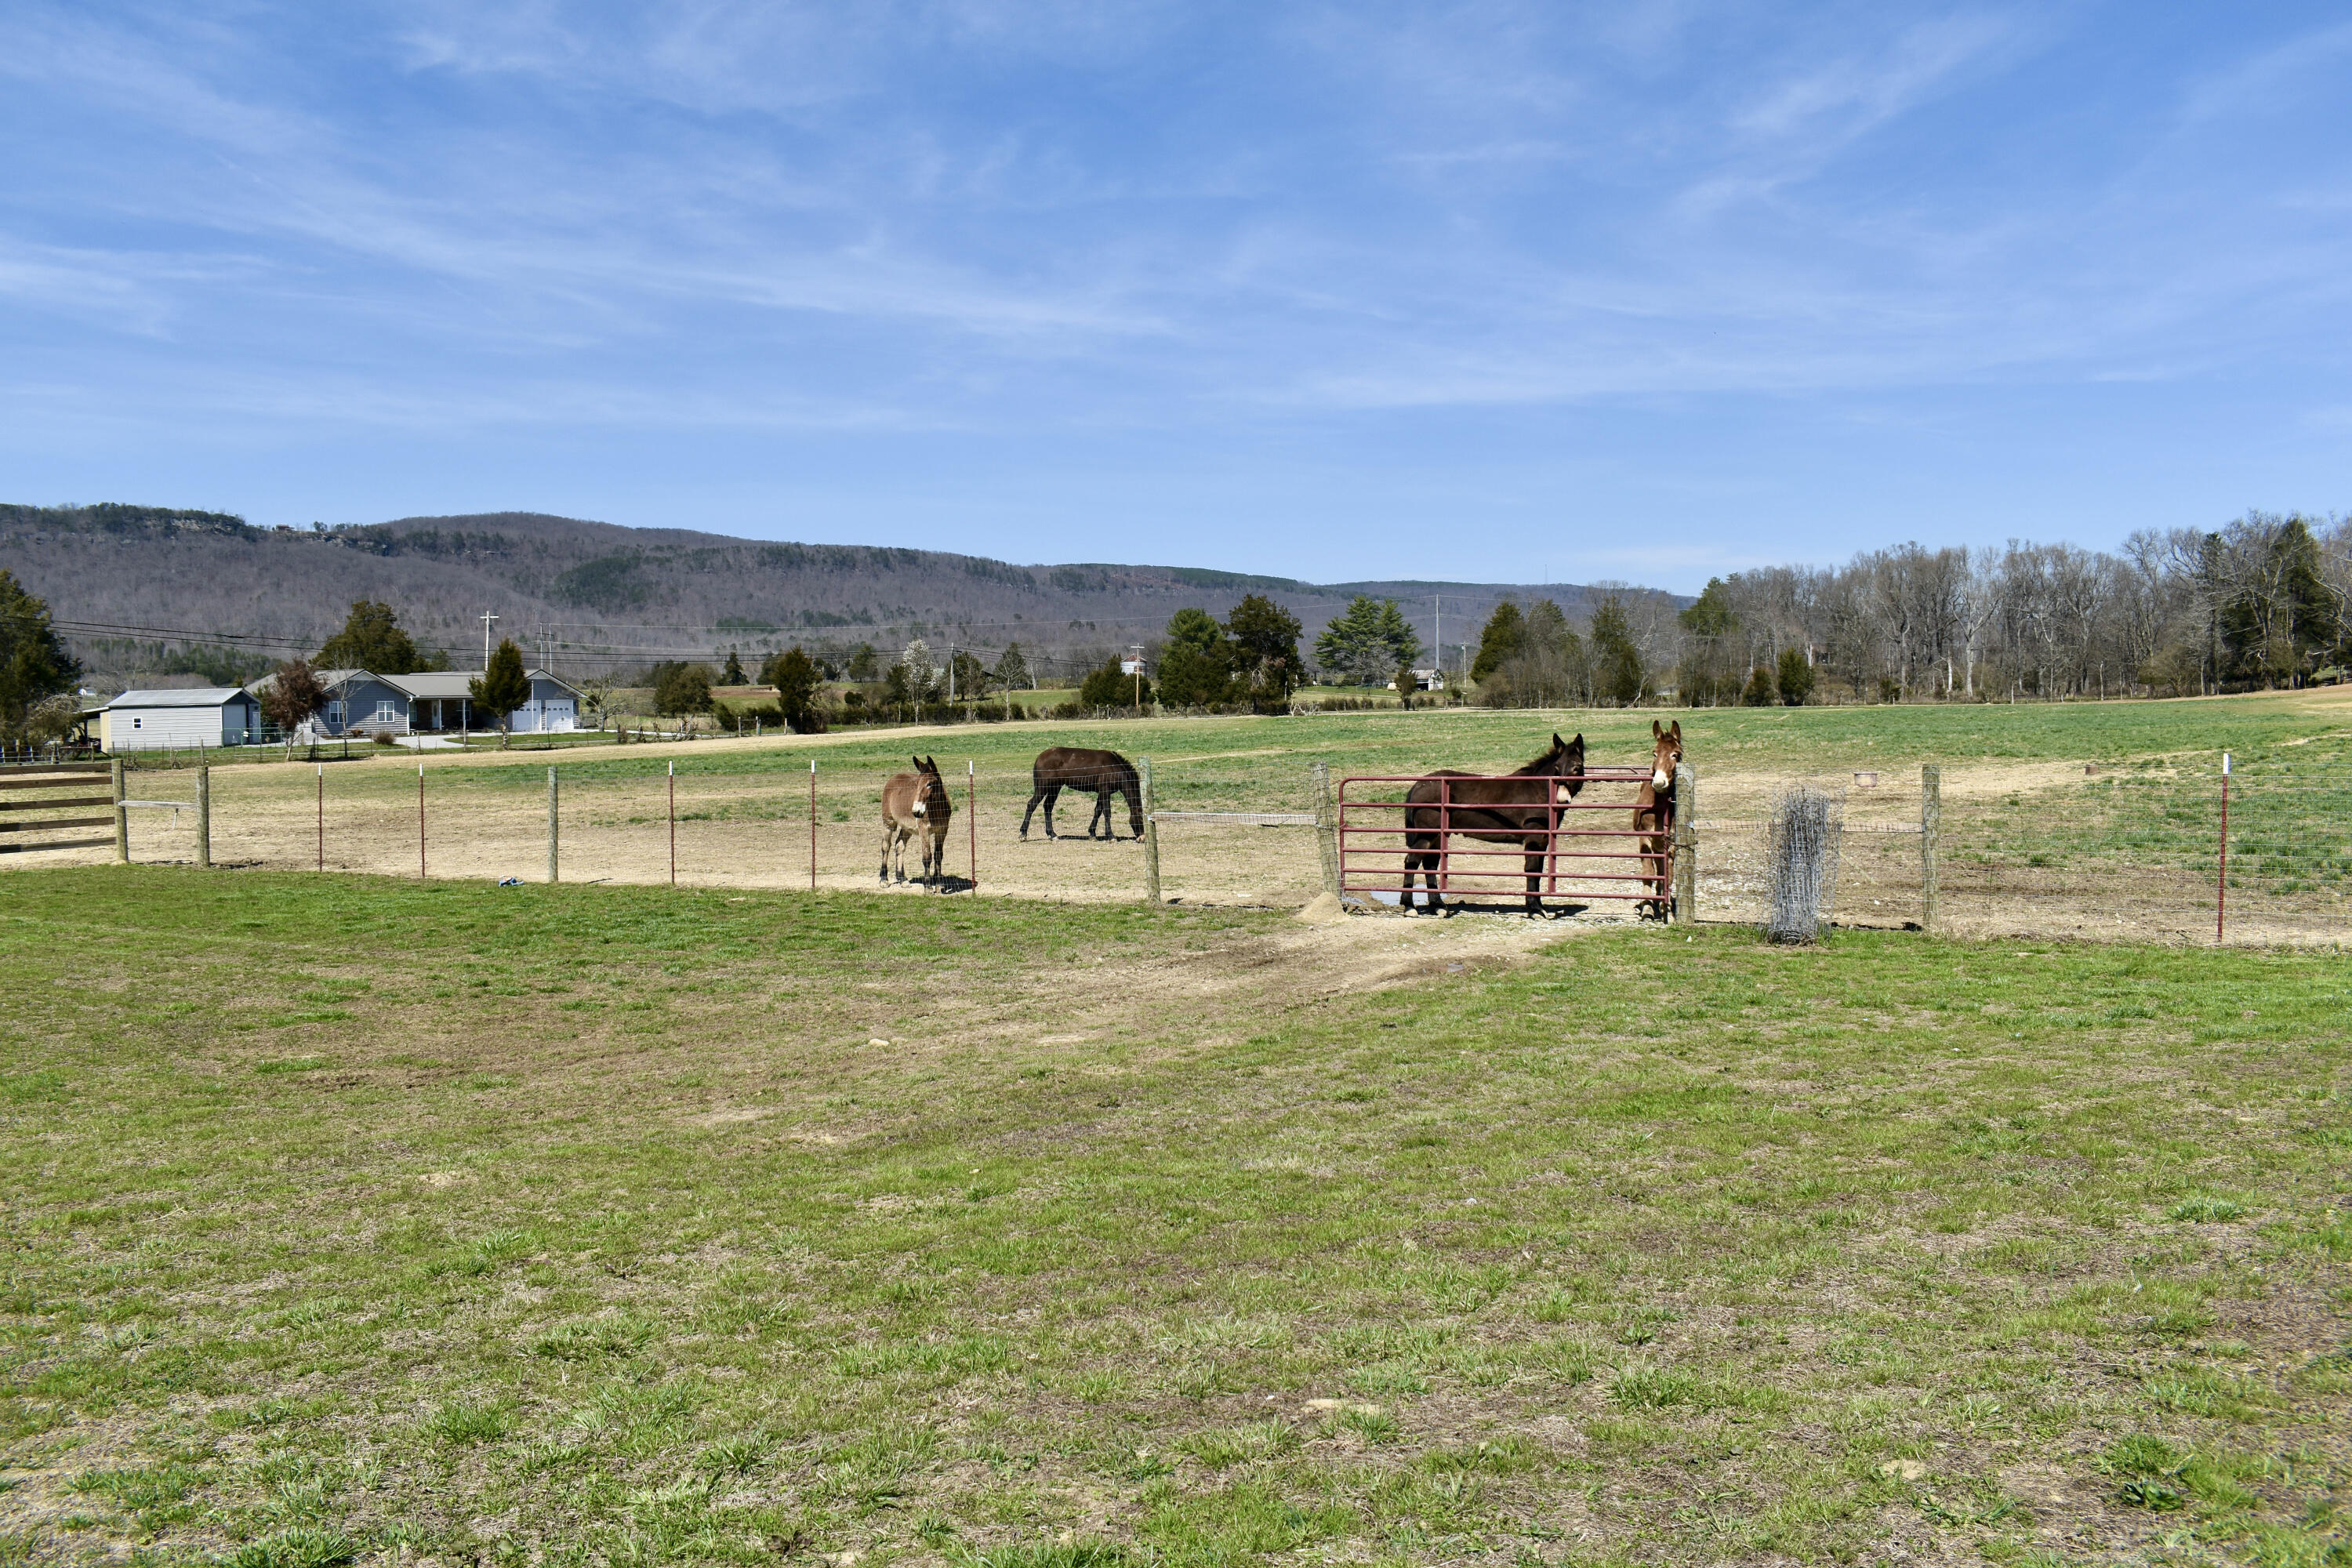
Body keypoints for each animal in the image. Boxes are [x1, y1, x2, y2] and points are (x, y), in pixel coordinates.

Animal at [1021, 752, 1148, 846]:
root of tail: (1040, 757)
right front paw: (1111, 836)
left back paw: (1052, 835)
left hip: (1055, 788)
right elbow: (1107, 812)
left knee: (1048, 807)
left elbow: (1098, 811)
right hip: (1043, 788)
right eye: (1141, 819)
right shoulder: (1105, 791)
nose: (1142, 838)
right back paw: (1023, 834)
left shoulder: (1101, 793)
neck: (1114, 768)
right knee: (1031, 805)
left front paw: (1092, 834)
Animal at [1402, 738, 1590, 921]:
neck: (1539, 791)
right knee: (1412, 861)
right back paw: (1409, 907)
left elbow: (1538, 872)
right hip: (1427, 835)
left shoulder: (1543, 841)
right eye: (1557, 768)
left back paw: (1438, 906)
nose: (1562, 799)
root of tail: (1418, 785)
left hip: (1436, 836)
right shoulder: (1533, 839)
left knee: (1430, 864)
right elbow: (1531, 870)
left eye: (1577, 767)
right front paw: (1535, 910)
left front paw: (1540, 908)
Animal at [1628, 724, 1684, 921]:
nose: (1659, 783)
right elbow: (1647, 873)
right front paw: (1647, 908)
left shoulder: (1671, 843)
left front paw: (1667, 910)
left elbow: (1668, 874)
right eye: (1654, 753)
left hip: (1661, 845)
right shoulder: (1644, 838)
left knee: (1661, 871)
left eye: (1676, 754)